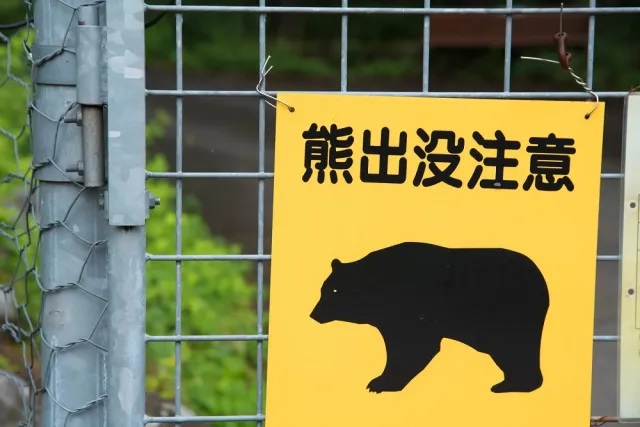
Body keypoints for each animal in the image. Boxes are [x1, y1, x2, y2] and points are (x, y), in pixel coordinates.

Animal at [309, 241, 550, 395]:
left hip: (510, 314)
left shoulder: (412, 309)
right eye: (323, 289)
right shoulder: (389, 319)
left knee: (516, 348)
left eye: (334, 291)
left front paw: (380, 383)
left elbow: (414, 346)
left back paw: (515, 385)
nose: (313, 314)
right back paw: (509, 383)